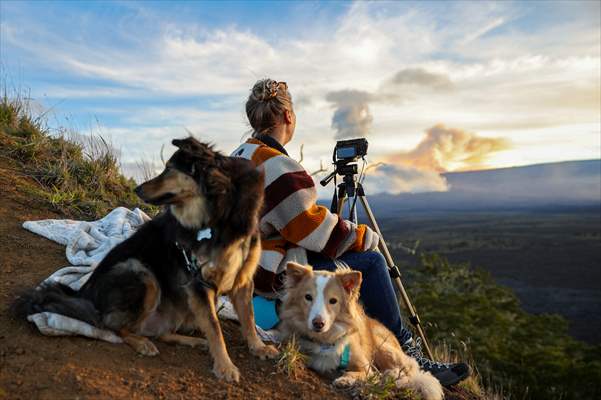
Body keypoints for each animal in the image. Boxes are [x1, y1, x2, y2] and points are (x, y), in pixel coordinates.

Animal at [11, 137, 278, 382]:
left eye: (169, 169)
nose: (136, 189)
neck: (219, 213)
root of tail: (84, 295)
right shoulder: (198, 282)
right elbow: (215, 327)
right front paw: (225, 366)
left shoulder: (243, 280)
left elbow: (248, 318)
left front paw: (258, 347)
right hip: (142, 273)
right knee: (112, 325)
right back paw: (141, 343)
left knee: (159, 331)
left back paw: (190, 340)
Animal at [274, 262, 442, 400]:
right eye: (308, 297)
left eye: (333, 301)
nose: (318, 324)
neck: (326, 340)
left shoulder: (365, 367)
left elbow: (362, 373)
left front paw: (346, 379)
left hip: (383, 347)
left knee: (410, 370)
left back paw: (391, 374)